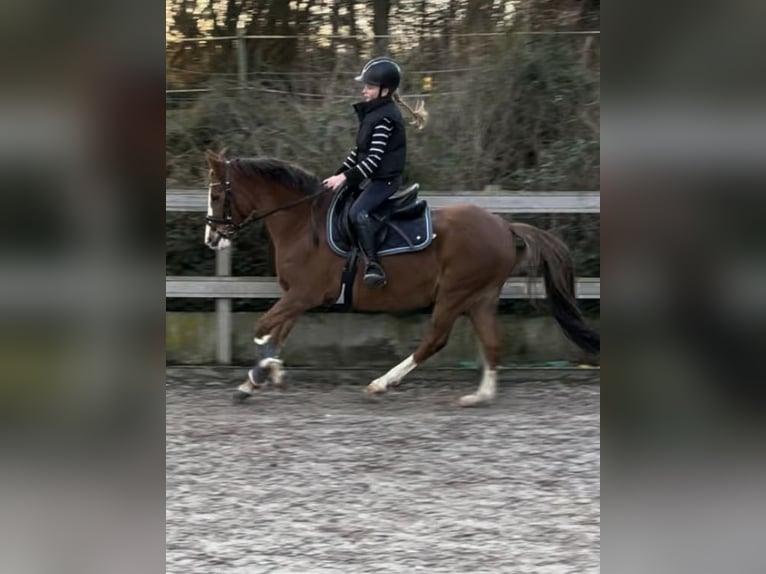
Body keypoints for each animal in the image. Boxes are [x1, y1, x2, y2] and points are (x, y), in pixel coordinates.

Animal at [204, 151, 600, 408]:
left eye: (217, 194)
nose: (211, 238)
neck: (302, 222)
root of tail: (504, 226)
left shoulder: (302, 295)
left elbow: (262, 328)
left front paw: (260, 375)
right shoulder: (298, 299)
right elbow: (277, 334)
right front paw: (264, 375)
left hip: (455, 294)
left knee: (434, 340)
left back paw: (380, 384)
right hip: (480, 297)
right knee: (491, 343)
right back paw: (480, 396)